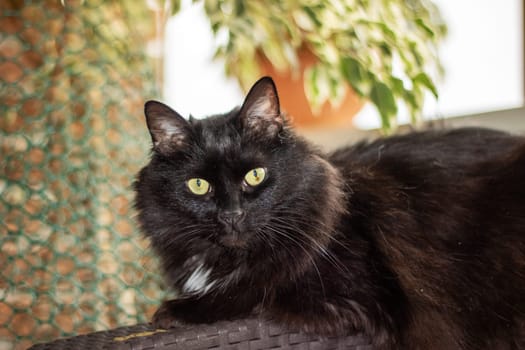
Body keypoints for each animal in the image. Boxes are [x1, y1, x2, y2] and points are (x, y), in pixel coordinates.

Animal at [132, 76, 524, 348]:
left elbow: (254, 290)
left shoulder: (351, 297)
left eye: (255, 175)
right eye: (199, 185)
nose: (231, 214)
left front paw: (176, 310)